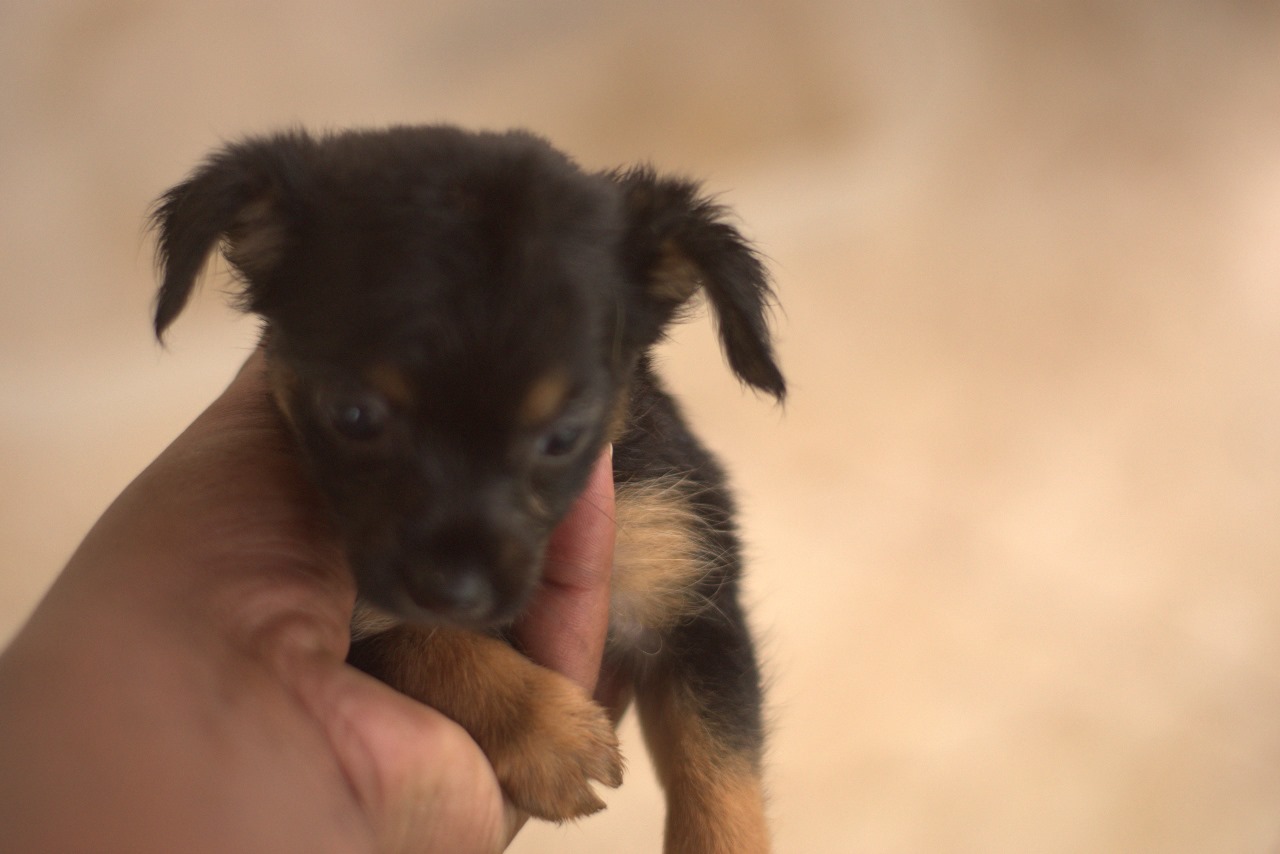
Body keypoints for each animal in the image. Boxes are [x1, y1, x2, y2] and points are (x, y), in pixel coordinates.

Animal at [149, 126, 778, 854]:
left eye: (564, 436)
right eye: (352, 415)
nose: (456, 591)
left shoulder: (693, 594)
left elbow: (719, 782)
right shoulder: (364, 622)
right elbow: (429, 643)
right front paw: (549, 734)